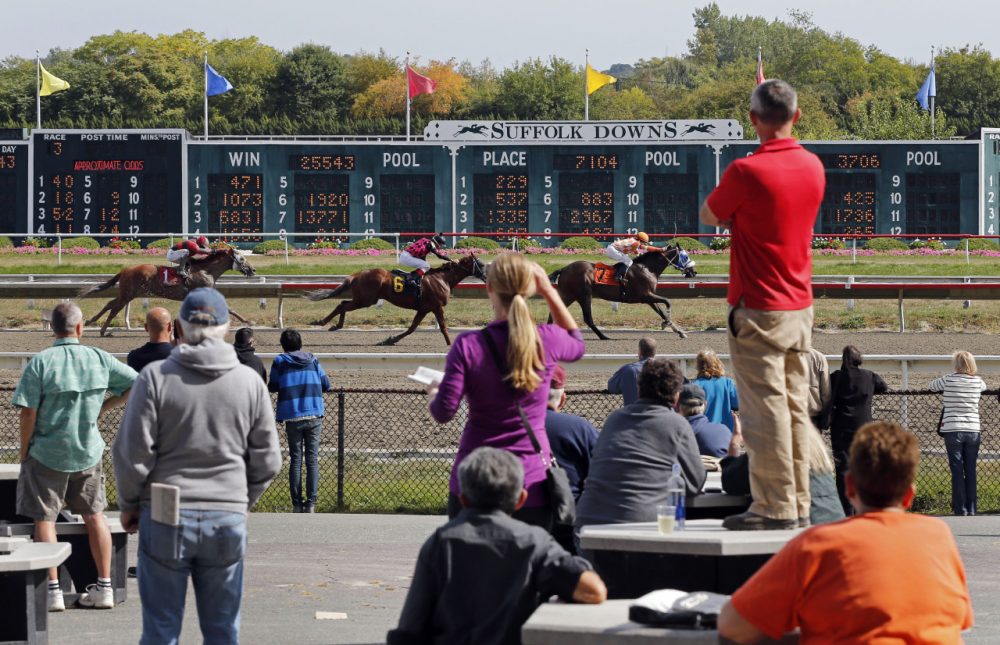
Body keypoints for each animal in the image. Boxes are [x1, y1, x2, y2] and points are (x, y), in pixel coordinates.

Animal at [79, 248, 258, 338]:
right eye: (242, 259)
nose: (253, 269)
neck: (206, 270)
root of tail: (125, 270)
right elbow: (228, 309)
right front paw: (248, 321)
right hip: (128, 294)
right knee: (115, 308)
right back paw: (102, 331)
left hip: (126, 293)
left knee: (110, 304)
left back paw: (91, 322)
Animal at [306, 253, 490, 348]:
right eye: (481, 264)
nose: (487, 276)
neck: (442, 278)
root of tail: (358, 274)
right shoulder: (437, 307)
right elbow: (444, 327)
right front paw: (451, 345)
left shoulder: (424, 308)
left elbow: (412, 328)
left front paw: (390, 340)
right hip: (365, 300)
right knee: (342, 305)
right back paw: (323, 322)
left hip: (364, 299)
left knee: (343, 304)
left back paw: (335, 325)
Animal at [548, 244, 696, 340]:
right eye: (685, 256)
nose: (693, 272)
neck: (647, 269)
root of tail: (564, 268)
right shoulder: (646, 295)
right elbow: (667, 302)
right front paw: (667, 324)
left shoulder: (649, 299)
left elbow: (662, 312)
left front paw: (679, 331)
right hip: (584, 296)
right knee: (588, 318)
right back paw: (604, 336)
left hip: (569, 295)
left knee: (553, 312)